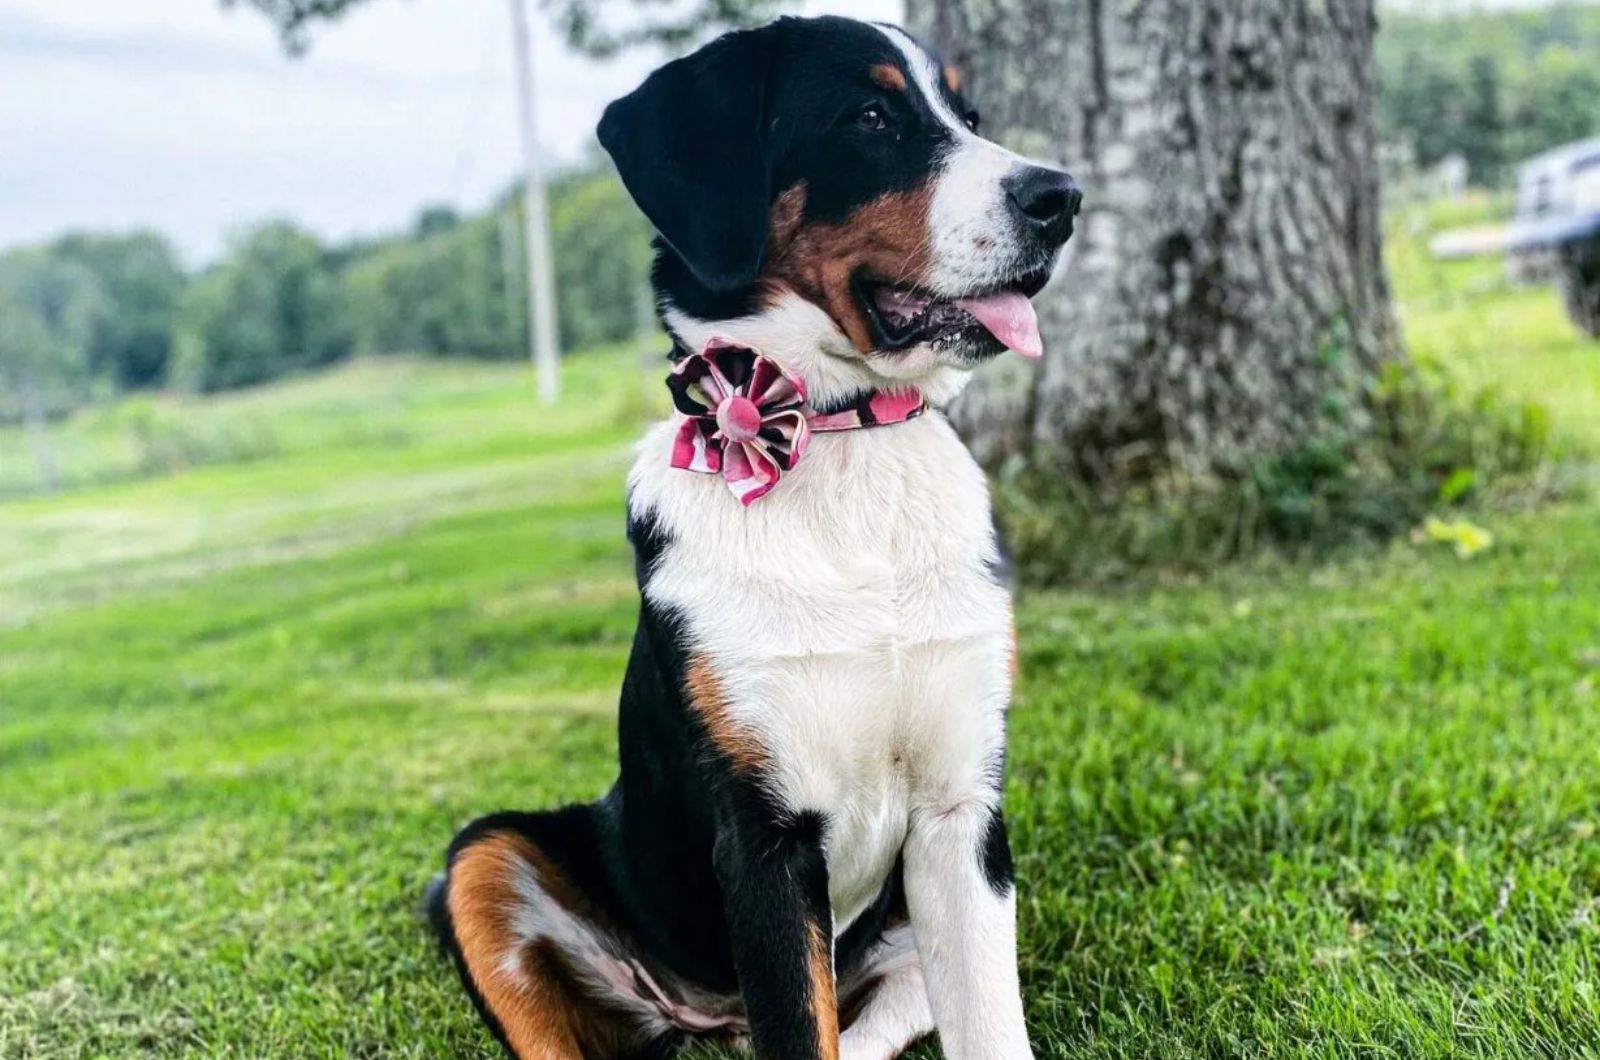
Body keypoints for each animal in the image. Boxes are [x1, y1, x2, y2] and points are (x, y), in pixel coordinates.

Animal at [428, 16, 1075, 1060]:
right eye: (870, 117)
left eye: (970, 117)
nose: (1063, 198)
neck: (843, 447)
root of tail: (706, 1011)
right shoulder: (764, 836)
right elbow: (797, 1025)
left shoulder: (962, 816)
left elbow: (989, 1030)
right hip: (485, 858)